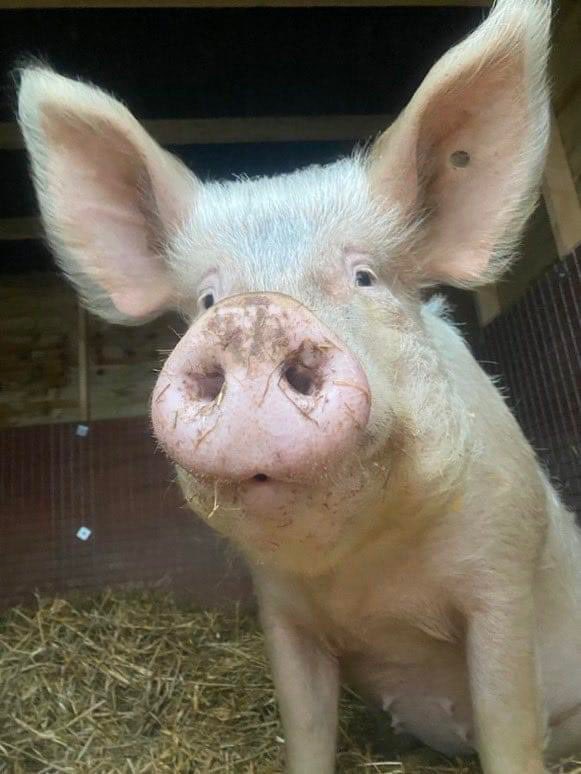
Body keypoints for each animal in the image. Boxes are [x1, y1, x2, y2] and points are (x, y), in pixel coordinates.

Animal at [16, 0, 581, 771]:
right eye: (205, 300)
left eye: (365, 276)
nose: (252, 317)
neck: (370, 581)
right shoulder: (282, 612)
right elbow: (306, 730)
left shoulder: (502, 575)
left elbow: (508, 729)